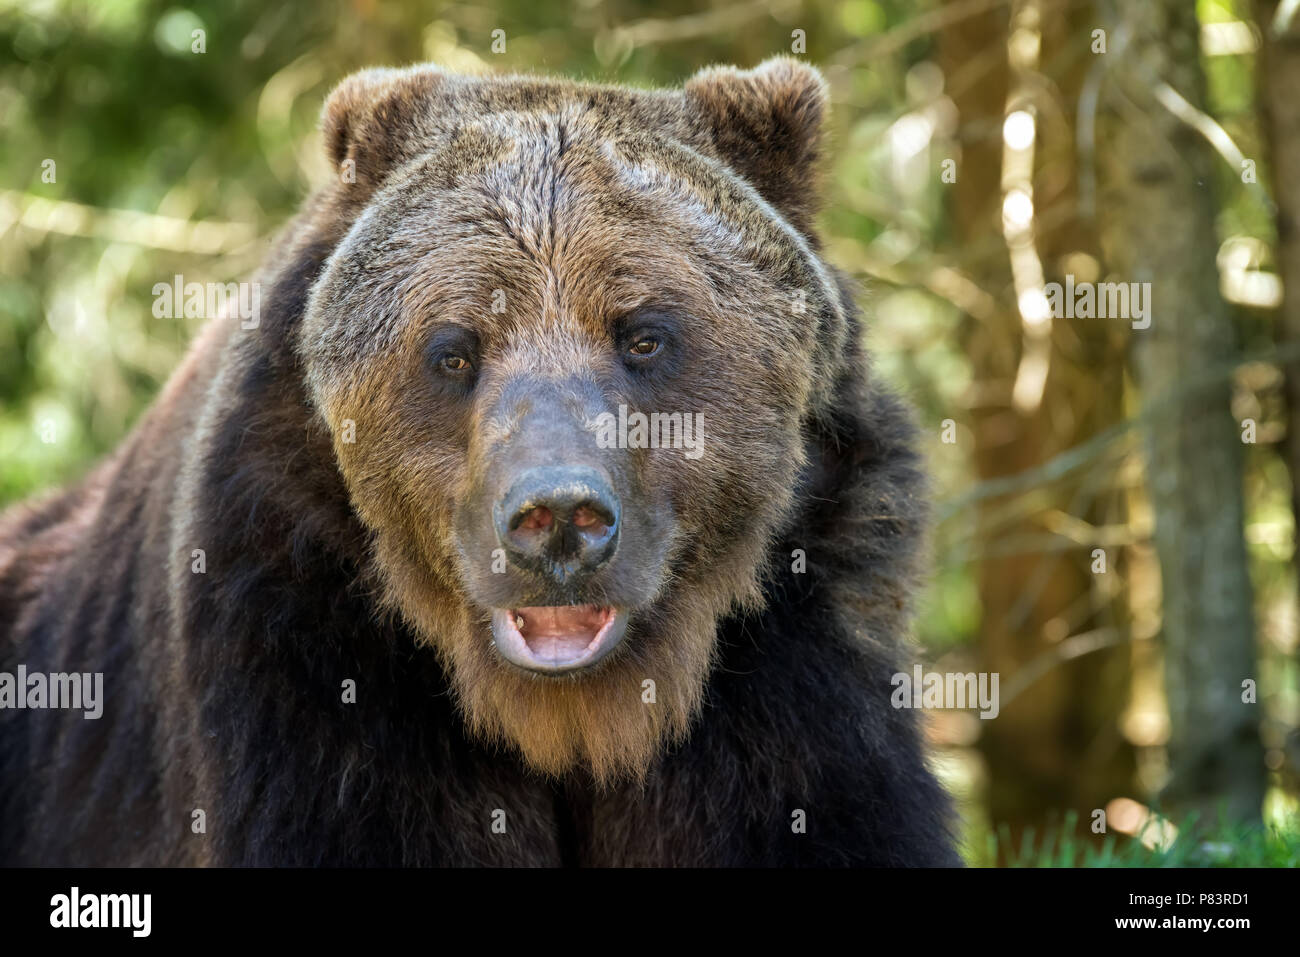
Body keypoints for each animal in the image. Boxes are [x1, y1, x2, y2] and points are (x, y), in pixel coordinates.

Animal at [0, 59, 956, 868]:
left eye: (645, 334)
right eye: (455, 349)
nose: (559, 518)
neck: (573, 722)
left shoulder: (794, 660)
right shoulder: (305, 644)